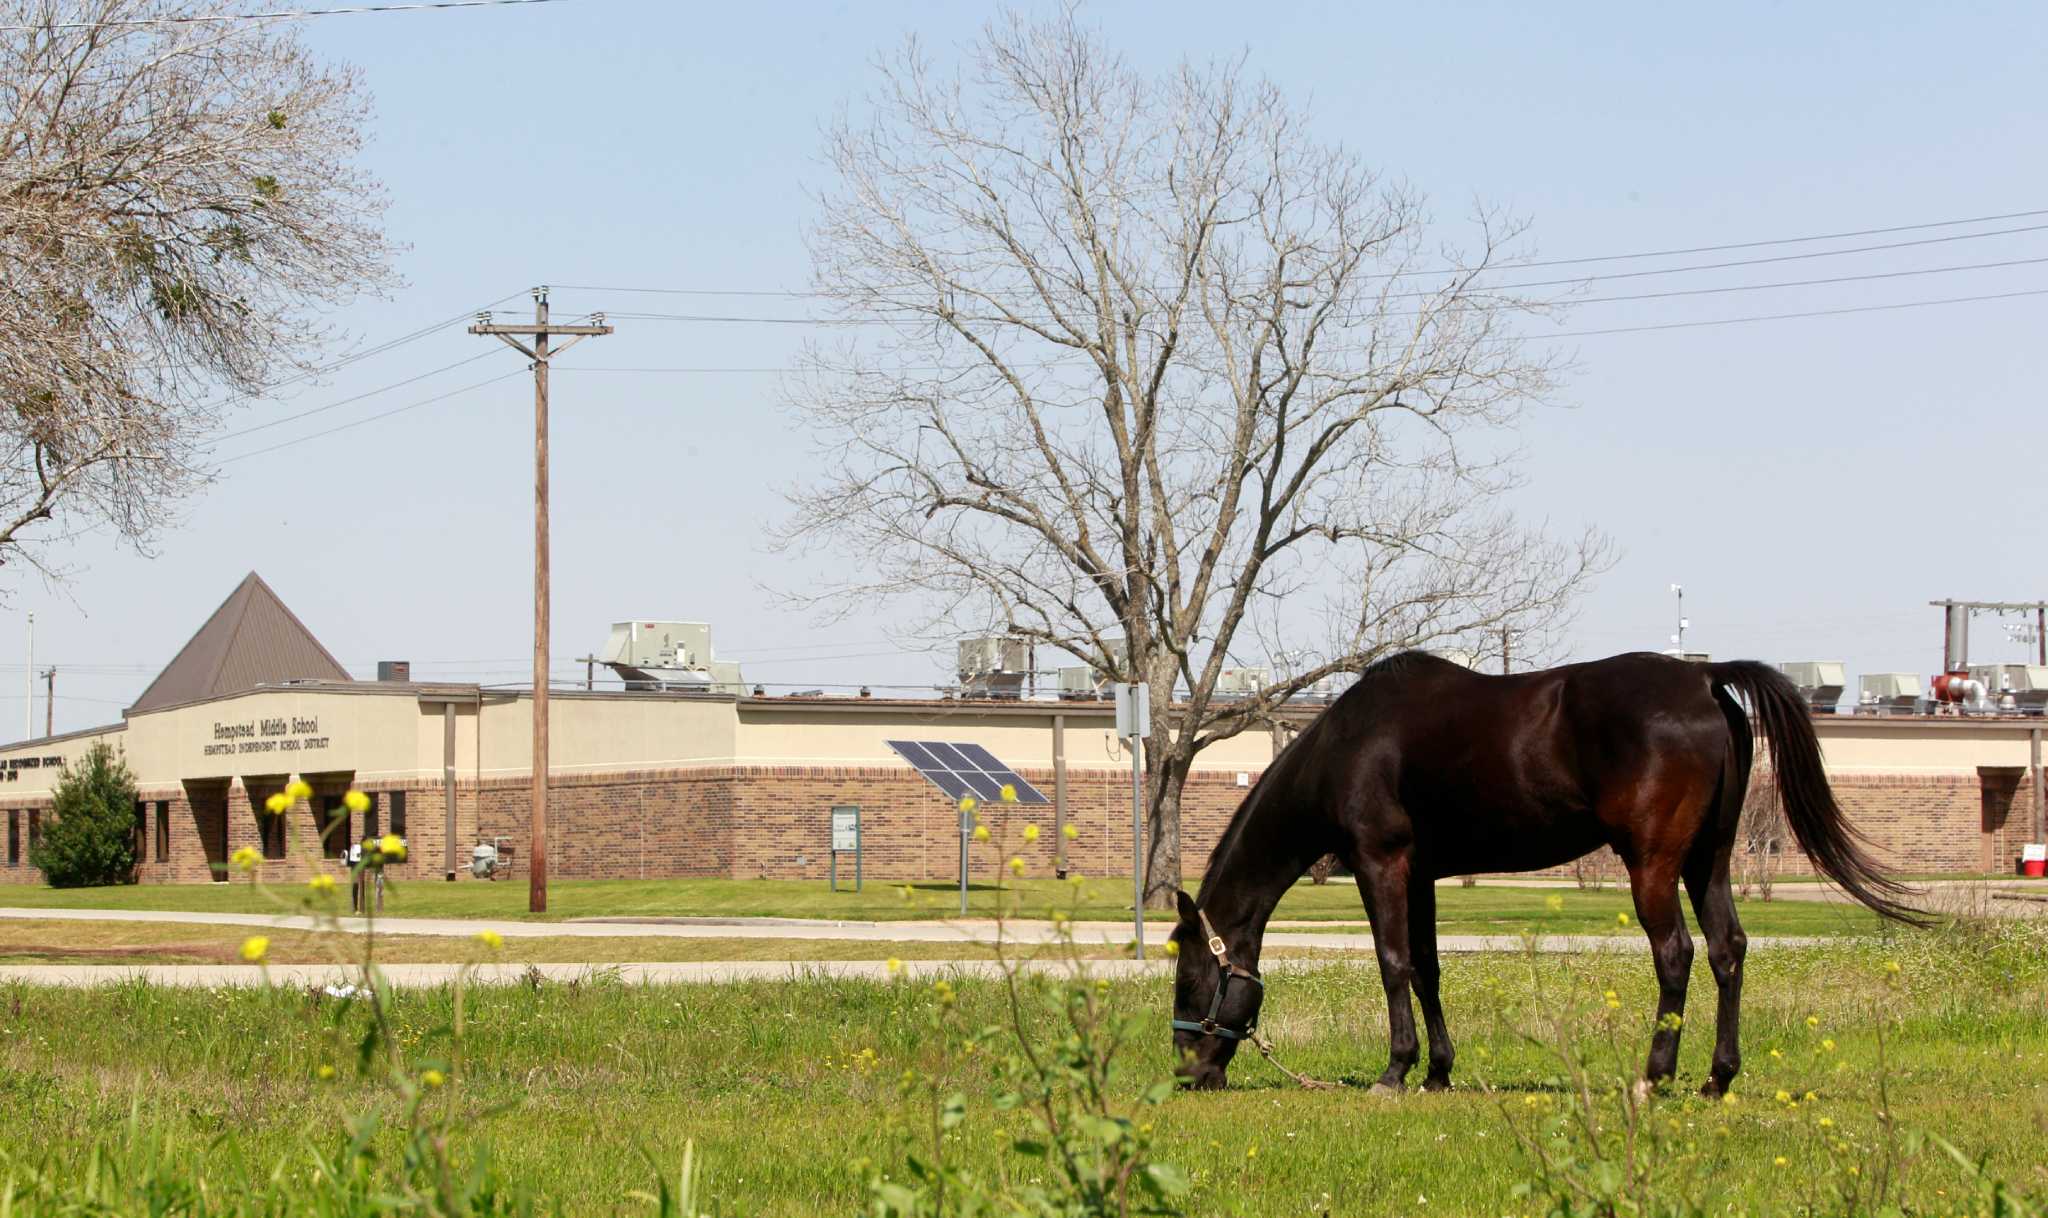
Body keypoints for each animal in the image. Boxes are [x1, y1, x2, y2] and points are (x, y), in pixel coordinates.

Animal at [1171, 650, 1916, 1097]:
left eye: (1190, 979)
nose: (1187, 1072)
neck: (1346, 745)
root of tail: (1702, 679)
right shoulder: (1422, 875)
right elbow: (1428, 968)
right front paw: (1439, 1072)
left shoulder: (1380, 864)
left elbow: (1392, 963)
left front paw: (1396, 1069)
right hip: (1710, 859)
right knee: (1727, 950)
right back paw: (1716, 1079)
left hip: (1653, 864)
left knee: (1675, 954)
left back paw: (1654, 1076)